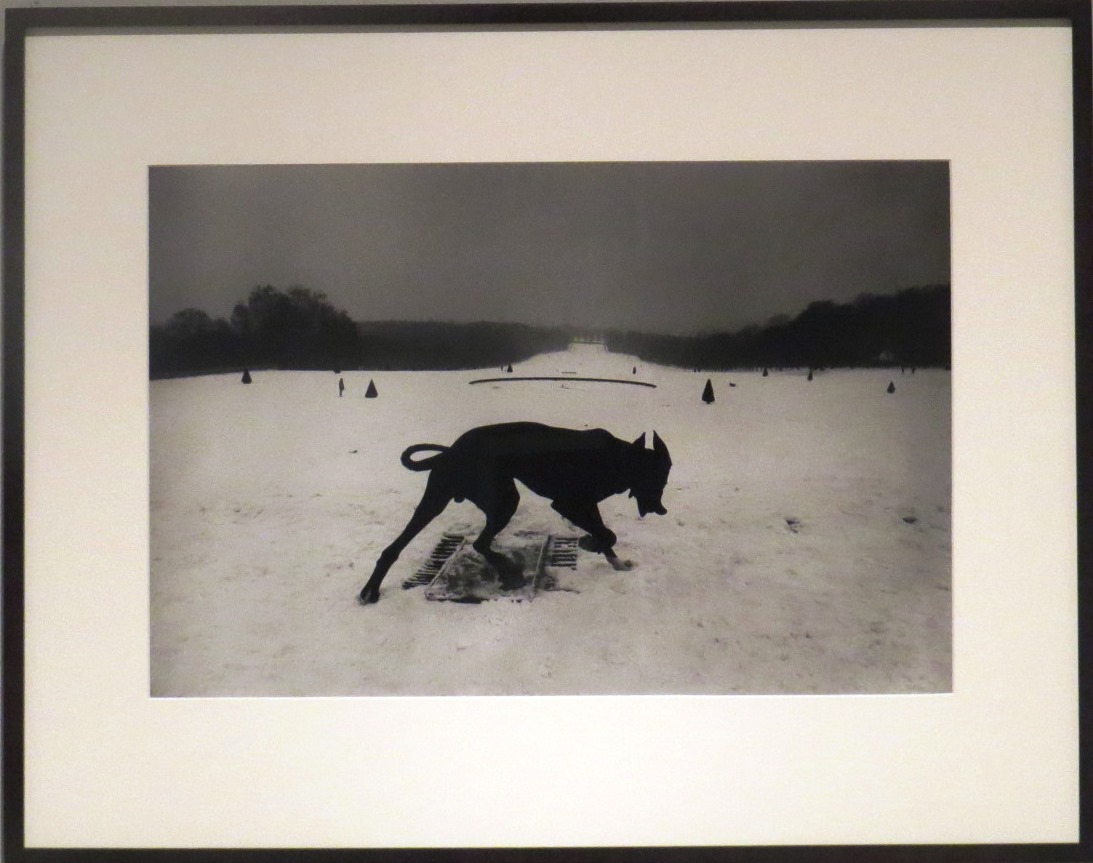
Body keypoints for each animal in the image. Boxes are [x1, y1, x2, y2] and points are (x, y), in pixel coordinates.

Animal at [358, 422, 672, 605]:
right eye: (659, 480)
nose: (662, 509)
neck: (620, 458)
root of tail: (450, 452)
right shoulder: (568, 503)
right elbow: (607, 533)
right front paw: (590, 543)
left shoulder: (586, 504)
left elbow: (605, 533)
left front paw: (614, 561)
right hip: (486, 500)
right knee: (465, 543)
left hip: (469, 500)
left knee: (470, 543)